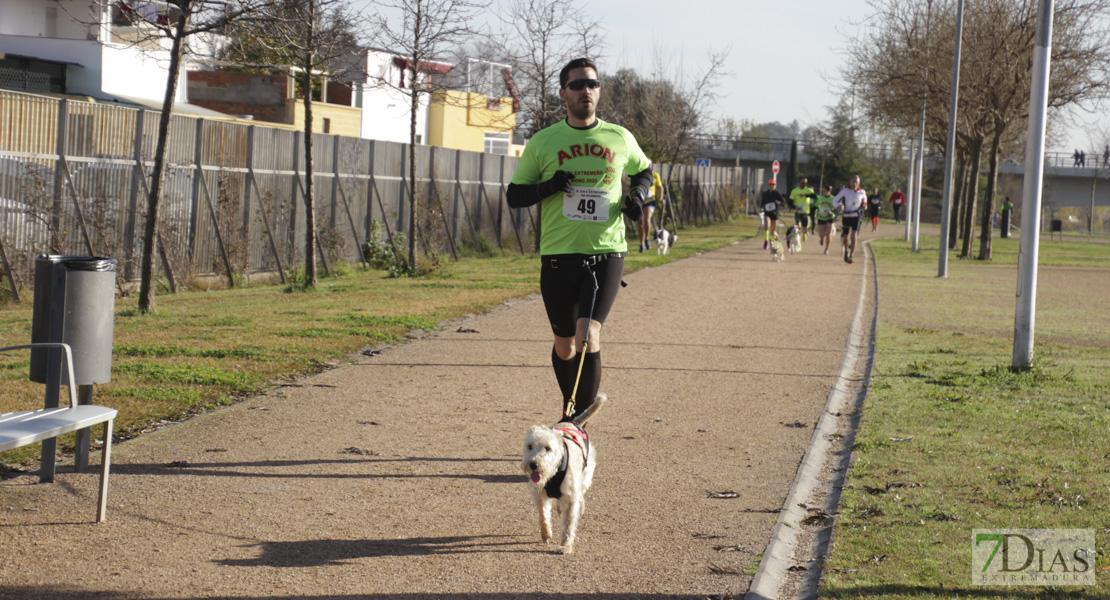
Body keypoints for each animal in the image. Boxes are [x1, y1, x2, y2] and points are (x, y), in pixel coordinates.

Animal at [519, 392, 608, 552]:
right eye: (529, 446)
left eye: (547, 448)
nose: (533, 464)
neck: (554, 471)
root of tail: (573, 422)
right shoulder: (540, 495)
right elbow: (543, 515)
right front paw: (546, 534)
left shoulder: (571, 496)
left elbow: (569, 523)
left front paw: (566, 546)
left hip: (585, 477)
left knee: (581, 494)